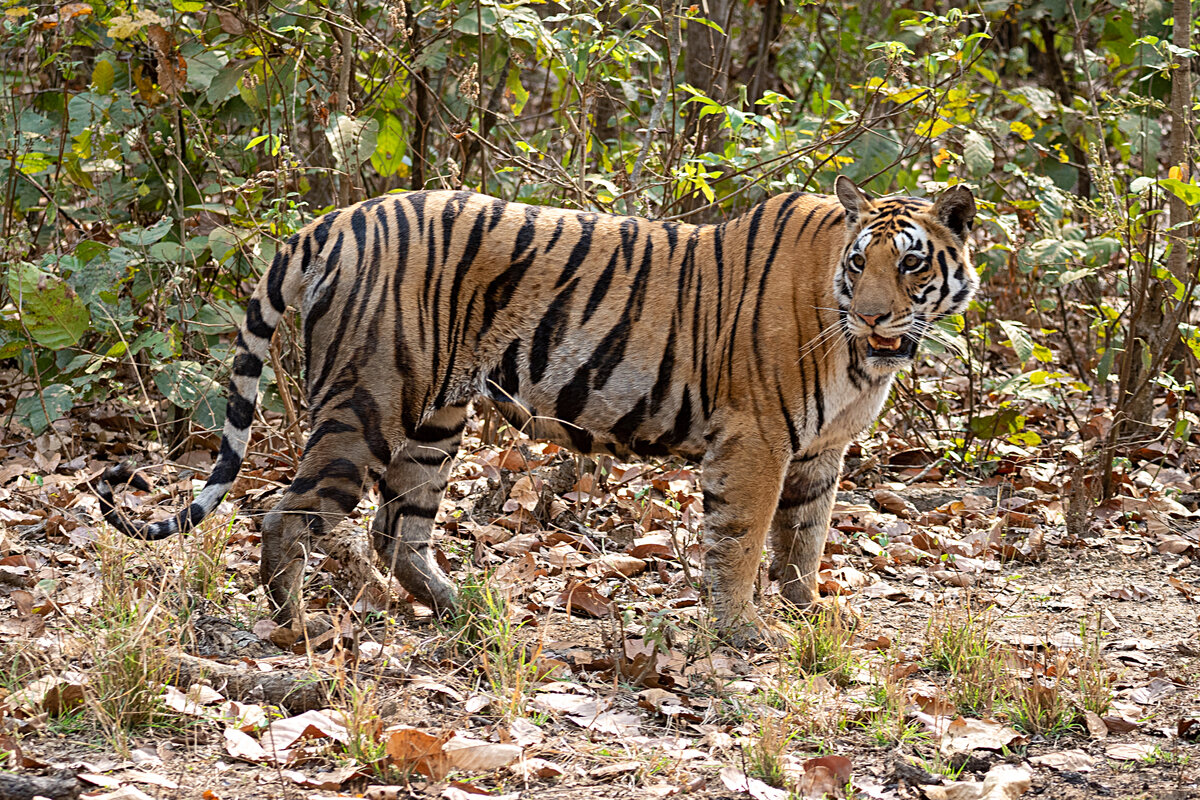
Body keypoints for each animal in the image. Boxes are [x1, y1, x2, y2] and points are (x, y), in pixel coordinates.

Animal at [93, 178, 974, 647]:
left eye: (911, 265)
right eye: (861, 265)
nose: (874, 315)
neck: (860, 357)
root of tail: (337, 217)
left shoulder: (821, 453)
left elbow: (805, 539)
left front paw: (806, 615)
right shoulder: (756, 443)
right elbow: (742, 542)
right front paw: (745, 631)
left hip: (437, 420)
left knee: (397, 531)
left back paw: (473, 613)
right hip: (370, 401)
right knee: (287, 512)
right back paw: (300, 628)